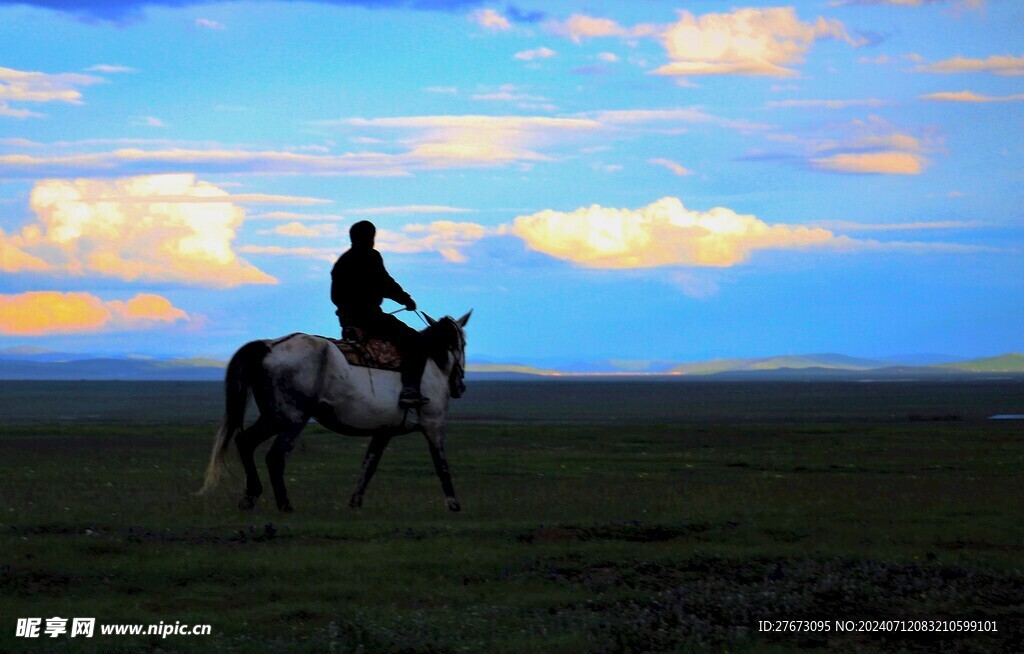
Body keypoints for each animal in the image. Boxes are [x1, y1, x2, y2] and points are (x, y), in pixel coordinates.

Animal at [196, 311, 471, 511]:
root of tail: (270, 346)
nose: (460, 386)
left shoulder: (383, 432)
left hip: (273, 417)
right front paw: (454, 504)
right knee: (274, 457)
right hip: (292, 420)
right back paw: (284, 505)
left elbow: (368, 466)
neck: (433, 364)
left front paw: (355, 502)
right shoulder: (433, 425)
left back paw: (250, 497)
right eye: (463, 343)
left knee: (245, 442)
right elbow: (441, 465)